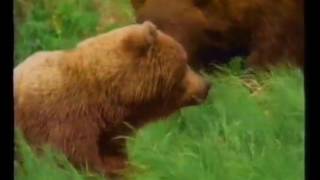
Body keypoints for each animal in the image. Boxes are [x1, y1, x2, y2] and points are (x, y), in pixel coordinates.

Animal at [13, 21, 211, 177]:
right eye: (185, 61)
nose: (206, 85)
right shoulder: (62, 118)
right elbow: (73, 160)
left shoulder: (107, 132)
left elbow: (116, 158)